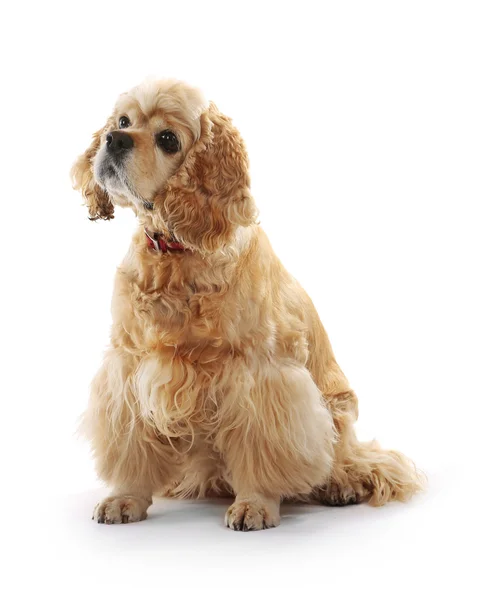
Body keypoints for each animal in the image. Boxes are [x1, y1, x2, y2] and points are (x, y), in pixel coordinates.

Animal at [72, 78, 426, 528]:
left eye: (168, 139)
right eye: (122, 121)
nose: (113, 140)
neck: (178, 255)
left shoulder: (259, 375)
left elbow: (260, 449)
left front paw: (255, 504)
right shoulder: (129, 366)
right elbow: (131, 442)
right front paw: (125, 497)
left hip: (338, 410)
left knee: (354, 460)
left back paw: (339, 485)